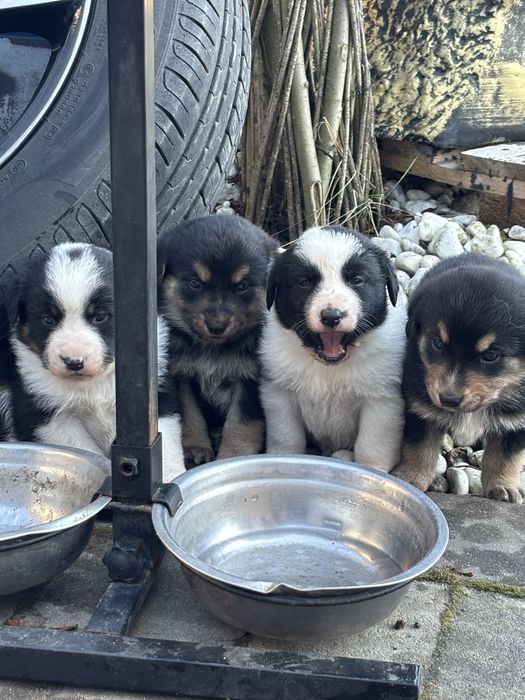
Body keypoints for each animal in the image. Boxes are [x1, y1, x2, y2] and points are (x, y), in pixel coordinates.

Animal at [7, 242, 184, 482]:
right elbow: (82, 449)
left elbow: (167, 440)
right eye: (48, 319)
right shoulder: (48, 416)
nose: (73, 361)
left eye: (100, 316)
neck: (94, 385)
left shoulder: (158, 394)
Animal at [157, 215, 276, 467]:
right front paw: (196, 447)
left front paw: (233, 457)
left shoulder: (249, 380)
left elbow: (240, 423)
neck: (212, 348)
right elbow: (190, 415)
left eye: (242, 286)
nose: (217, 326)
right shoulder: (181, 377)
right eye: (194, 283)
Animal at [259, 225, 407, 470]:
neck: (329, 369)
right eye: (303, 283)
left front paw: (372, 473)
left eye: (357, 280)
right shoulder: (279, 392)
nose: (331, 316)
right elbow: (287, 437)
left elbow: (371, 447)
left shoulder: (382, 400)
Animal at [392, 253, 525, 503]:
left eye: (490, 356)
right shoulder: (420, 406)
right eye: (437, 343)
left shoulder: (517, 420)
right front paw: (411, 478)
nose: (448, 399)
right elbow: (420, 448)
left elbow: (506, 457)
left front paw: (503, 488)